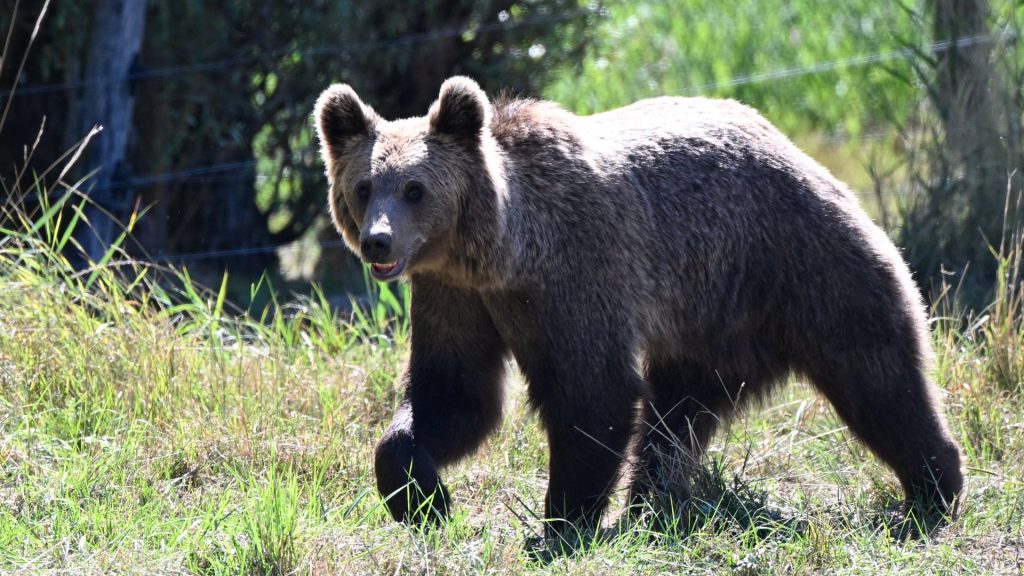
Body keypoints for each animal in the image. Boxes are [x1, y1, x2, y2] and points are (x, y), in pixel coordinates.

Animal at [314, 76, 964, 540]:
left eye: (414, 188)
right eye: (364, 186)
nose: (378, 242)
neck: (501, 249)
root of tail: (791, 146)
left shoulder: (574, 277)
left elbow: (591, 389)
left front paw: (561, 521)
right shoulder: (455, 295)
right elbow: (456, 393)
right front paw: (424, 498)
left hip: (798, 263)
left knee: (876, 372)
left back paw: (936, 485)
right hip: (708, 323)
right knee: (676, 412)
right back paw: (653, 497)